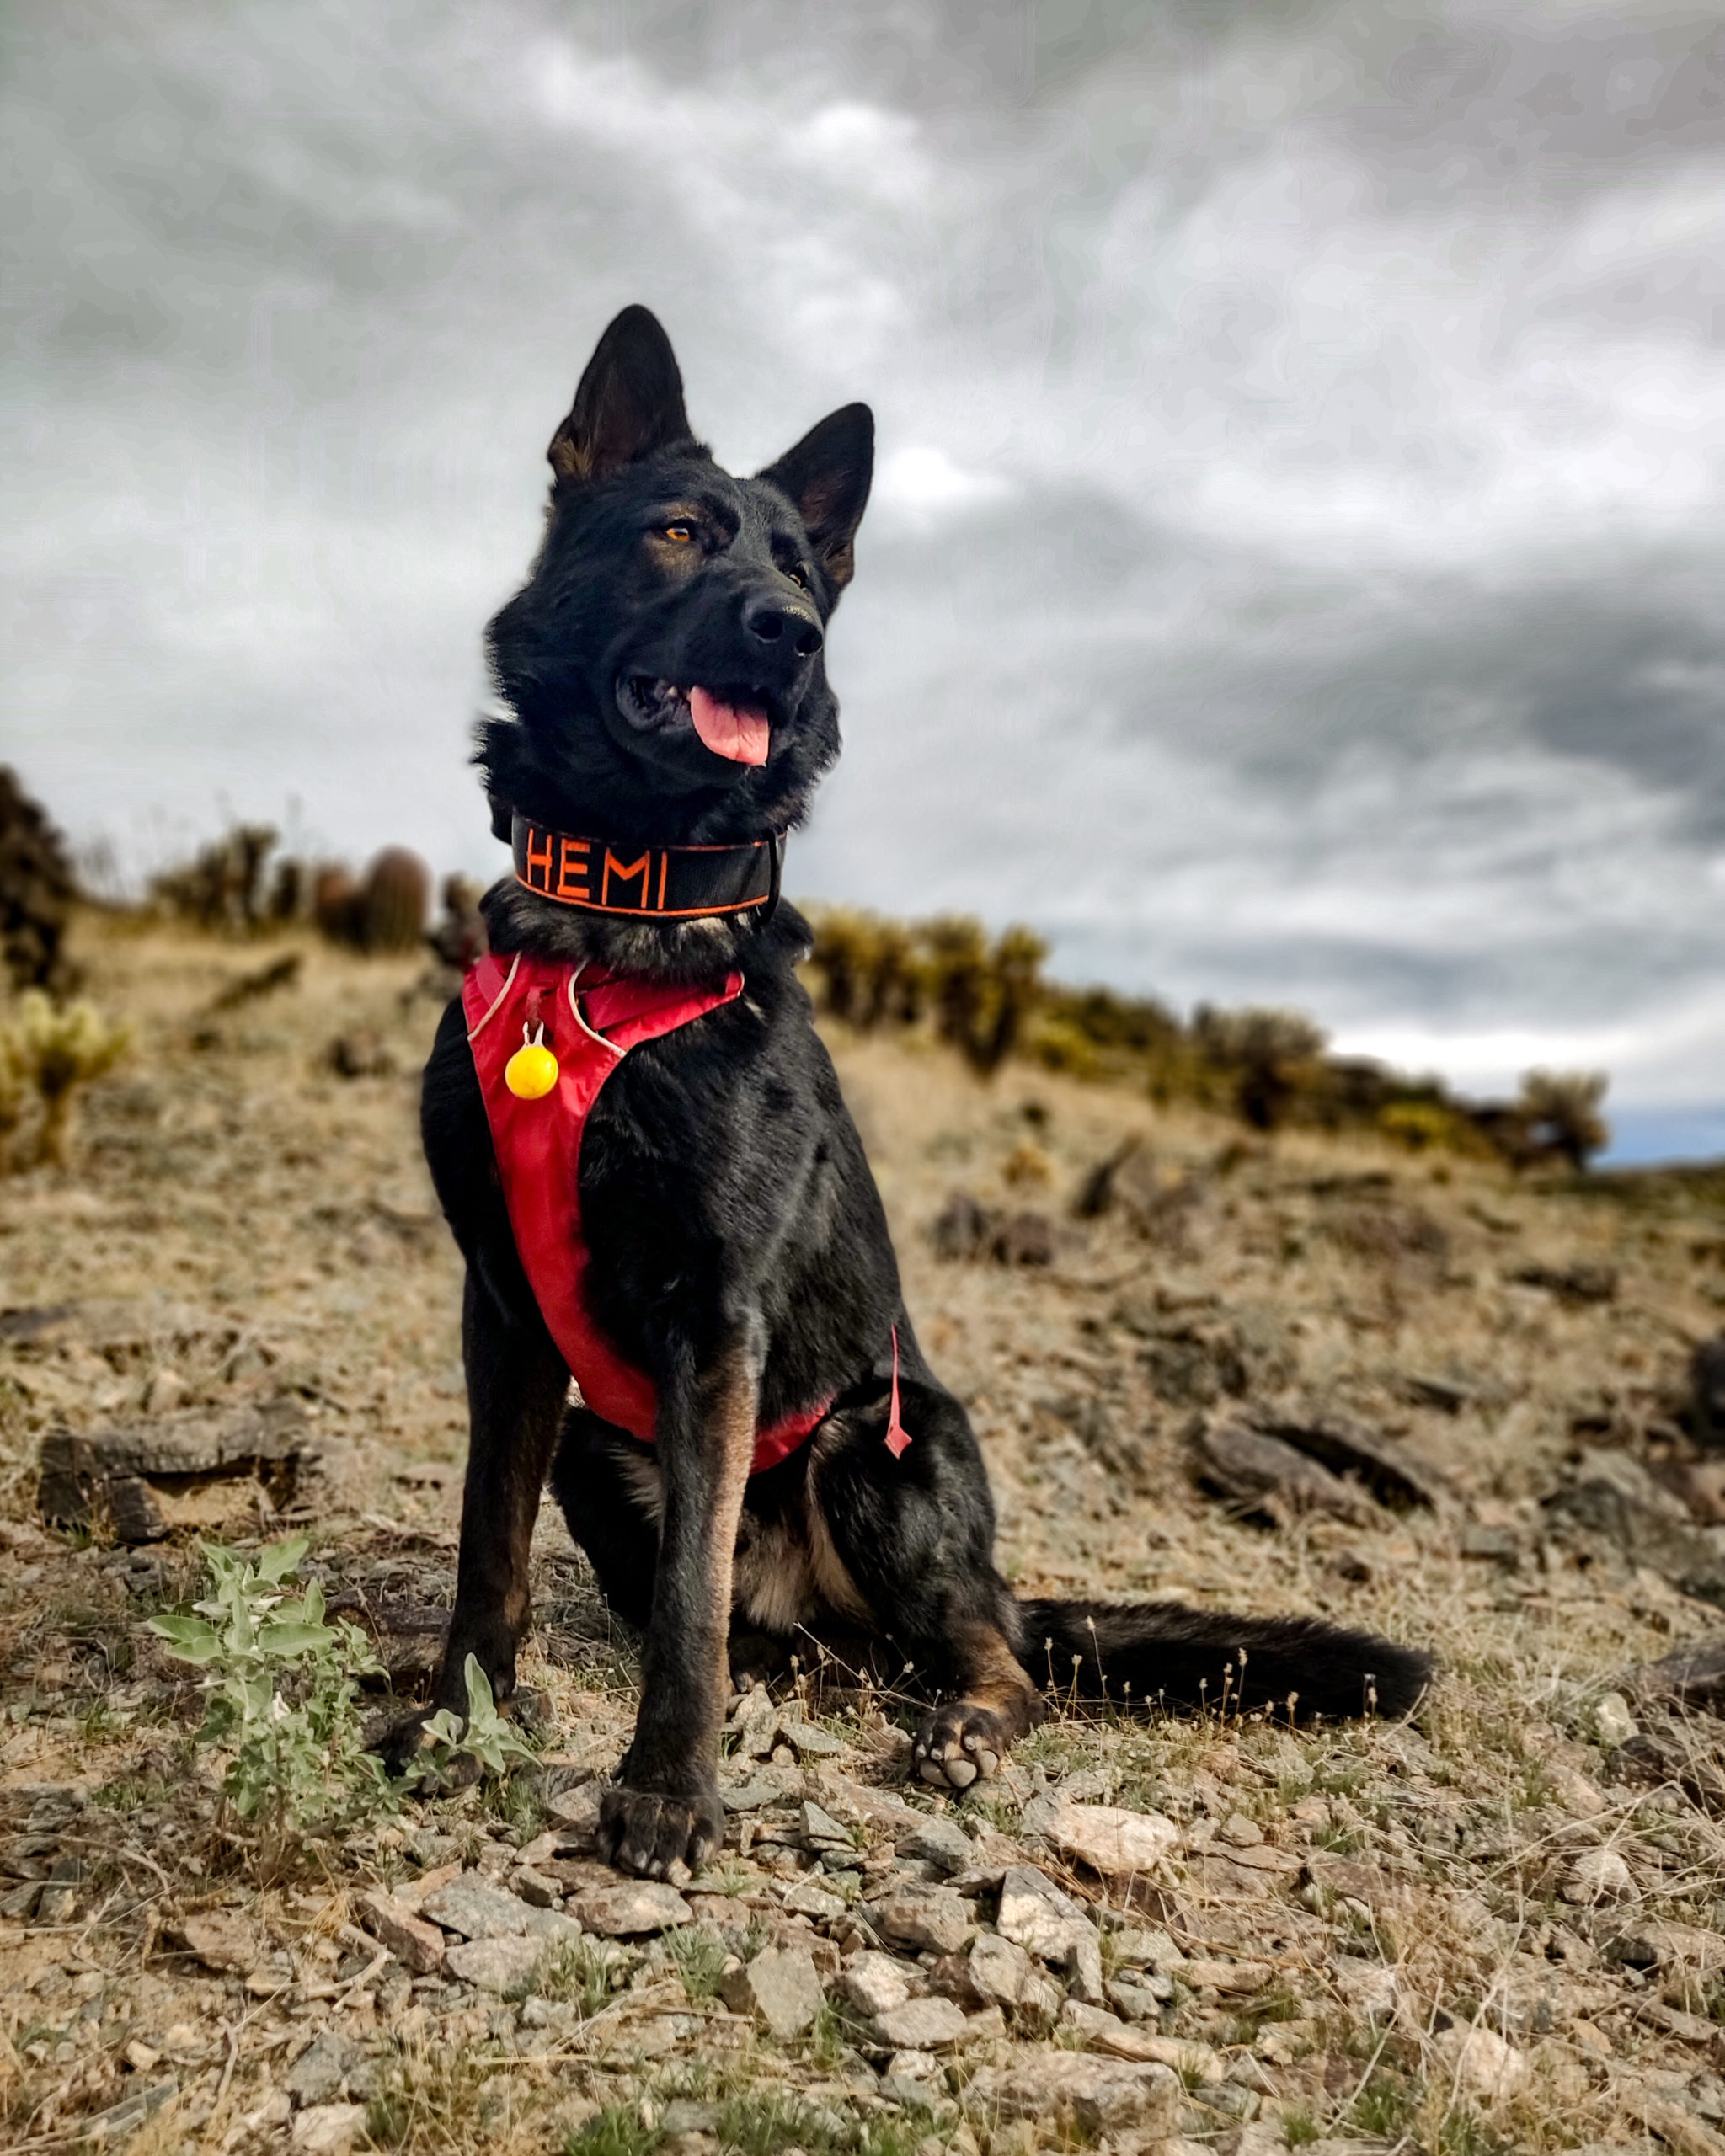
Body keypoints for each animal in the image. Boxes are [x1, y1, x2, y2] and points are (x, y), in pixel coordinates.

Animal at [414, 308, 1431, 1888]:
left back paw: (958, 1725)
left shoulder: (717, 1319)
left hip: (877, 1453)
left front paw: (667, 1794)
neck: (621, 920)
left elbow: (686, 1604)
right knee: (768, 1630)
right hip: (607, 1442)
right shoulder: (508, 1309)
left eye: (802, 569)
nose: (792, 633)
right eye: (679, 531)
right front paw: (459, 1719)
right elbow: (490, 1547)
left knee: (977, 1656)